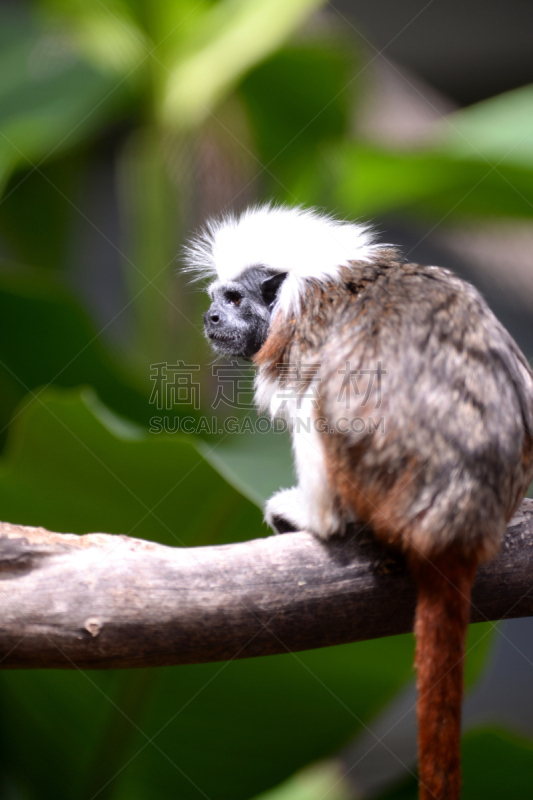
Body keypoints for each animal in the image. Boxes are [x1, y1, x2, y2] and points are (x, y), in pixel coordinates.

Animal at [185, 203, 532, 796]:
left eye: (232, 299)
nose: (210, 317)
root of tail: (457, 524)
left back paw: (316, 518)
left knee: (324, 401)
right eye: (215, 299)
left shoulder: (303, 327)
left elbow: (310, 398)